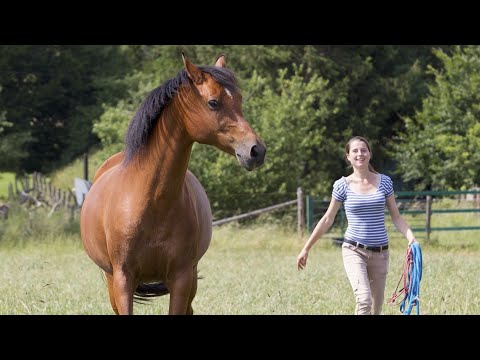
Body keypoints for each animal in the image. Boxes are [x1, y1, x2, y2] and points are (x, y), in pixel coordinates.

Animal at [79, 53, 266, 316]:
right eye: (213, 103)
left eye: (239, 100)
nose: (256, 150)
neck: (152, 201)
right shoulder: (123, 279)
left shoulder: (181, 278)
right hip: (111, 281)